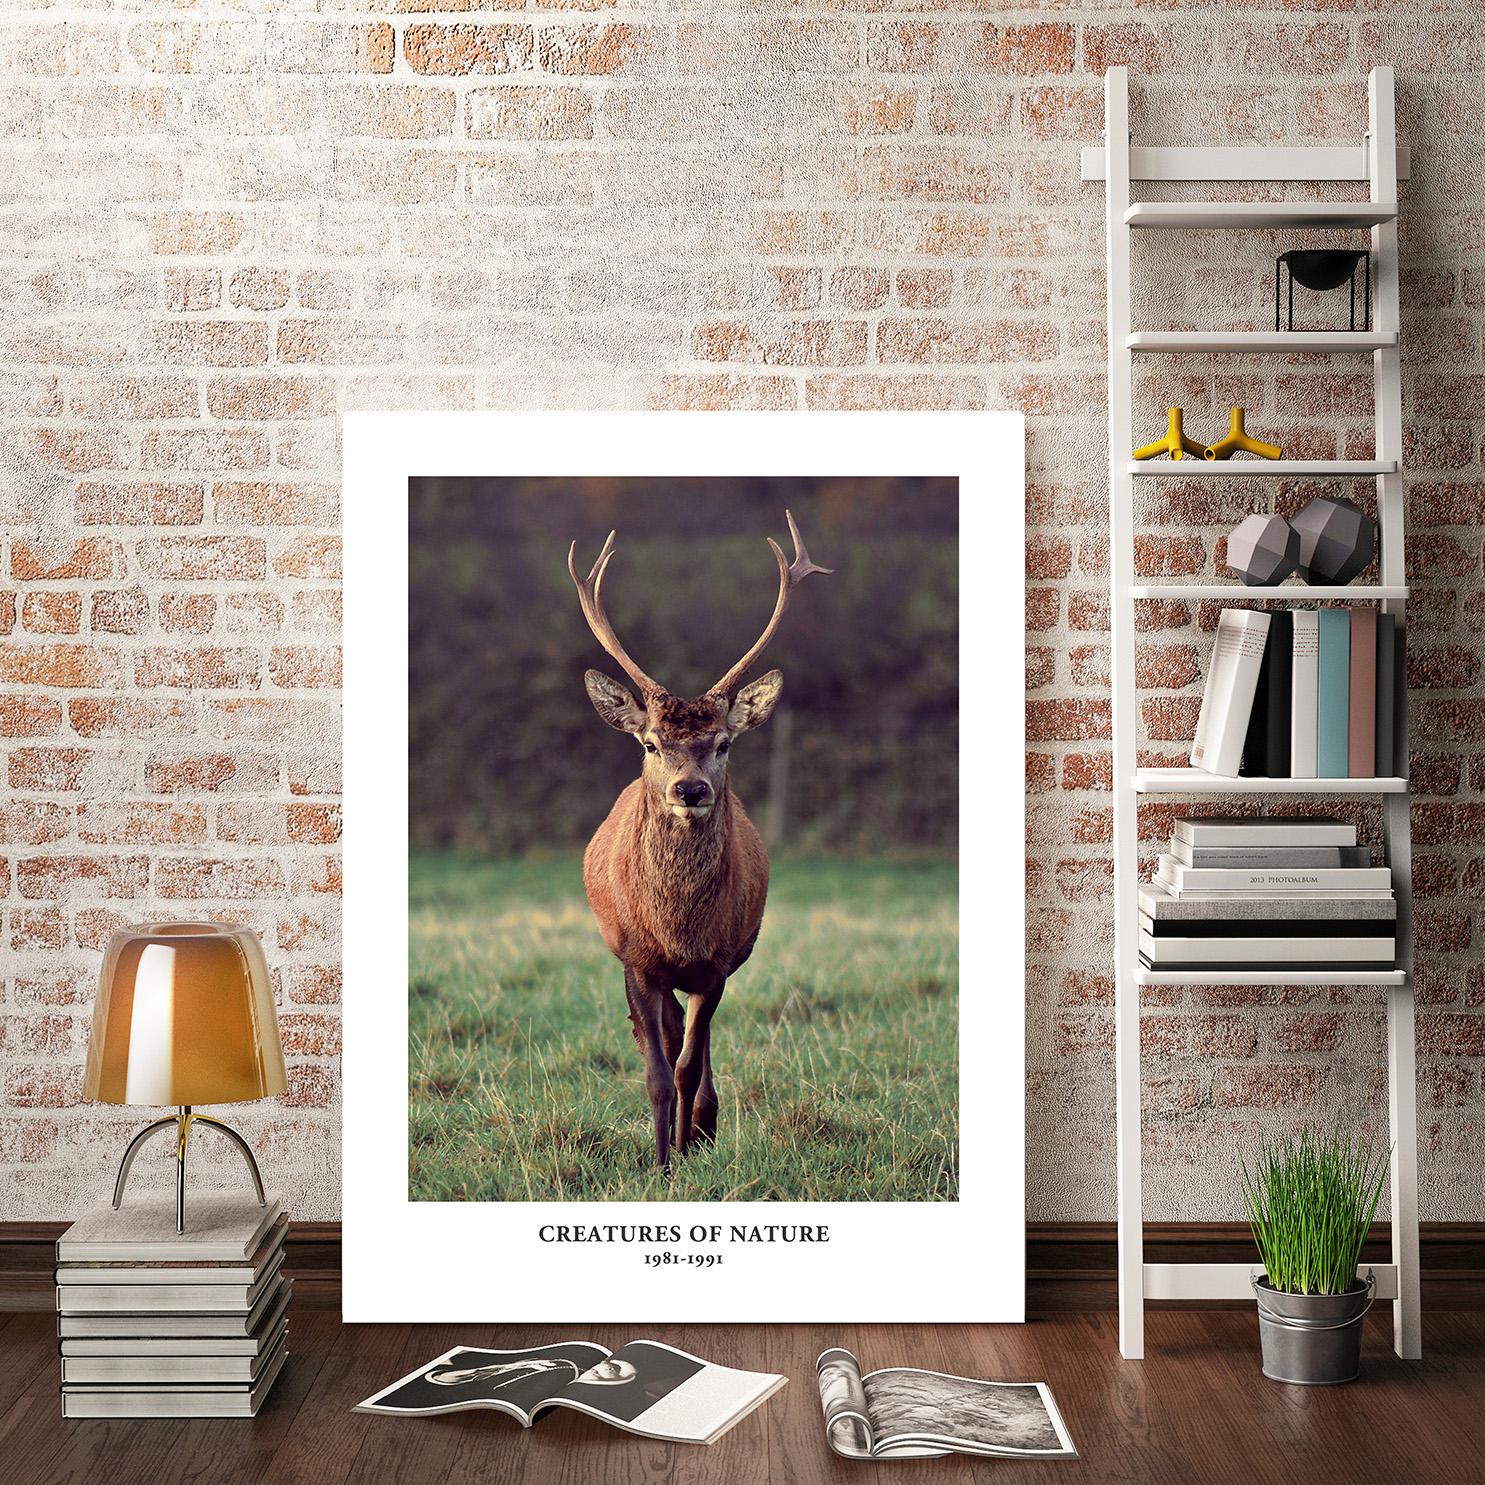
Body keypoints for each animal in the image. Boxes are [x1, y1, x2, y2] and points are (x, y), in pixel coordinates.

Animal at [568, 511, 830, 1172]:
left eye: (724, 743)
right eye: (651, 743)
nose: (689, 789)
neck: (678, 925)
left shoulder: (717, 964)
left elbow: (687, 1065)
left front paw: (686, 1148)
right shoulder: (637, 958)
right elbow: (658, 1071)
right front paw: (661, 1162)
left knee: (695, 1043)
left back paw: (705, 1128)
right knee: (660, 1037)